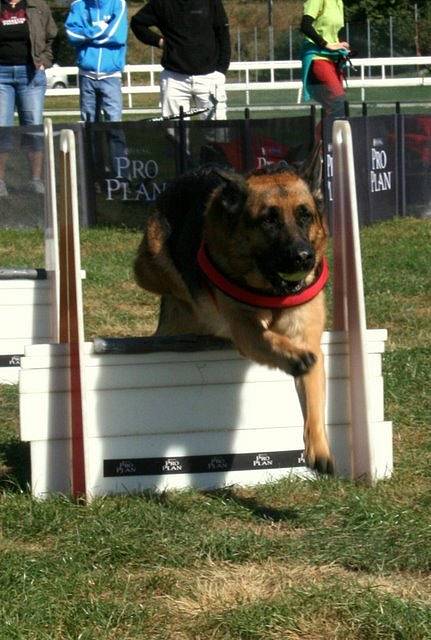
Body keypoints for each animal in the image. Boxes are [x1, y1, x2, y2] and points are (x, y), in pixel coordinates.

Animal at [135, 148, 334, 472]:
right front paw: (293, 357)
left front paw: (319, 449)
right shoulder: (244, 328)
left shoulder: (306, 337)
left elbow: (314, 400)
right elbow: (268, 339)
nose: (303, 257)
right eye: (269, 220)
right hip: (149, 266)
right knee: (176, 287)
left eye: (305, 215)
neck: (271, 290)